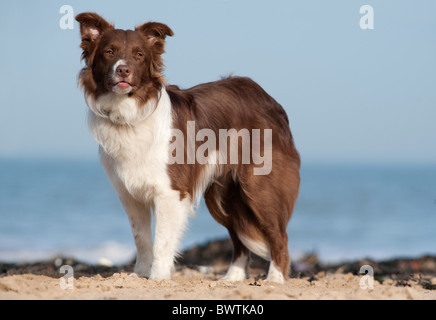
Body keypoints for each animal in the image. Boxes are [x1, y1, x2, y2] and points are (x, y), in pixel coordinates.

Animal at [76, 11, 300, 282]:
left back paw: (275, 279)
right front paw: (140, 274)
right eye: (109, 52)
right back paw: (232, 277)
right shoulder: (129, 194)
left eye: (139, 55)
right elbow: (141, 238)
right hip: (223, 196)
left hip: (259, 187)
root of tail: (267, 97)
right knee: (239, 238)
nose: (123, 70)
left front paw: (158, 277)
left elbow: (161, 241)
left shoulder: (169, 192)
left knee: (279, 235)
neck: (129, 114)